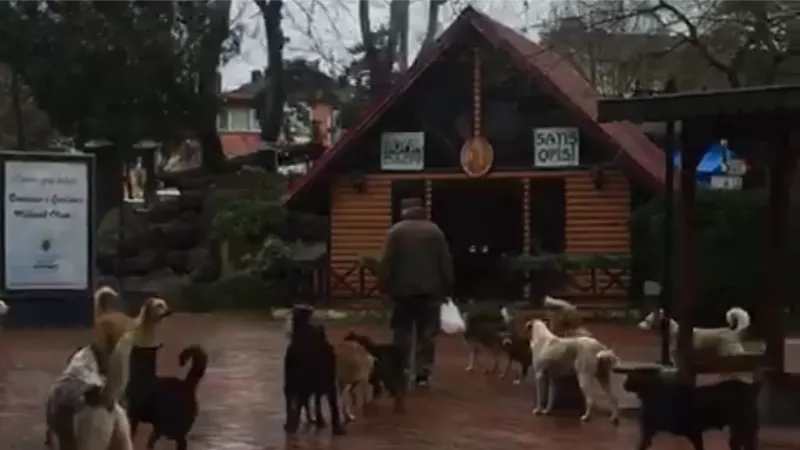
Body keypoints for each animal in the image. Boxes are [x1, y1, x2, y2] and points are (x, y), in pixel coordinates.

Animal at [282, 304, 344, 434]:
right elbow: (298, 405)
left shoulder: (328, 385)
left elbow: (332, 406)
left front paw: (336, 426)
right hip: (294, 385)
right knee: (296, 402)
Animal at [620, 370, 760, 448]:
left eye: (629, 379)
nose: (624, 384)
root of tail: (751, 388)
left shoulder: (695, 433)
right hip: (740, 433)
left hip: (743, 429)